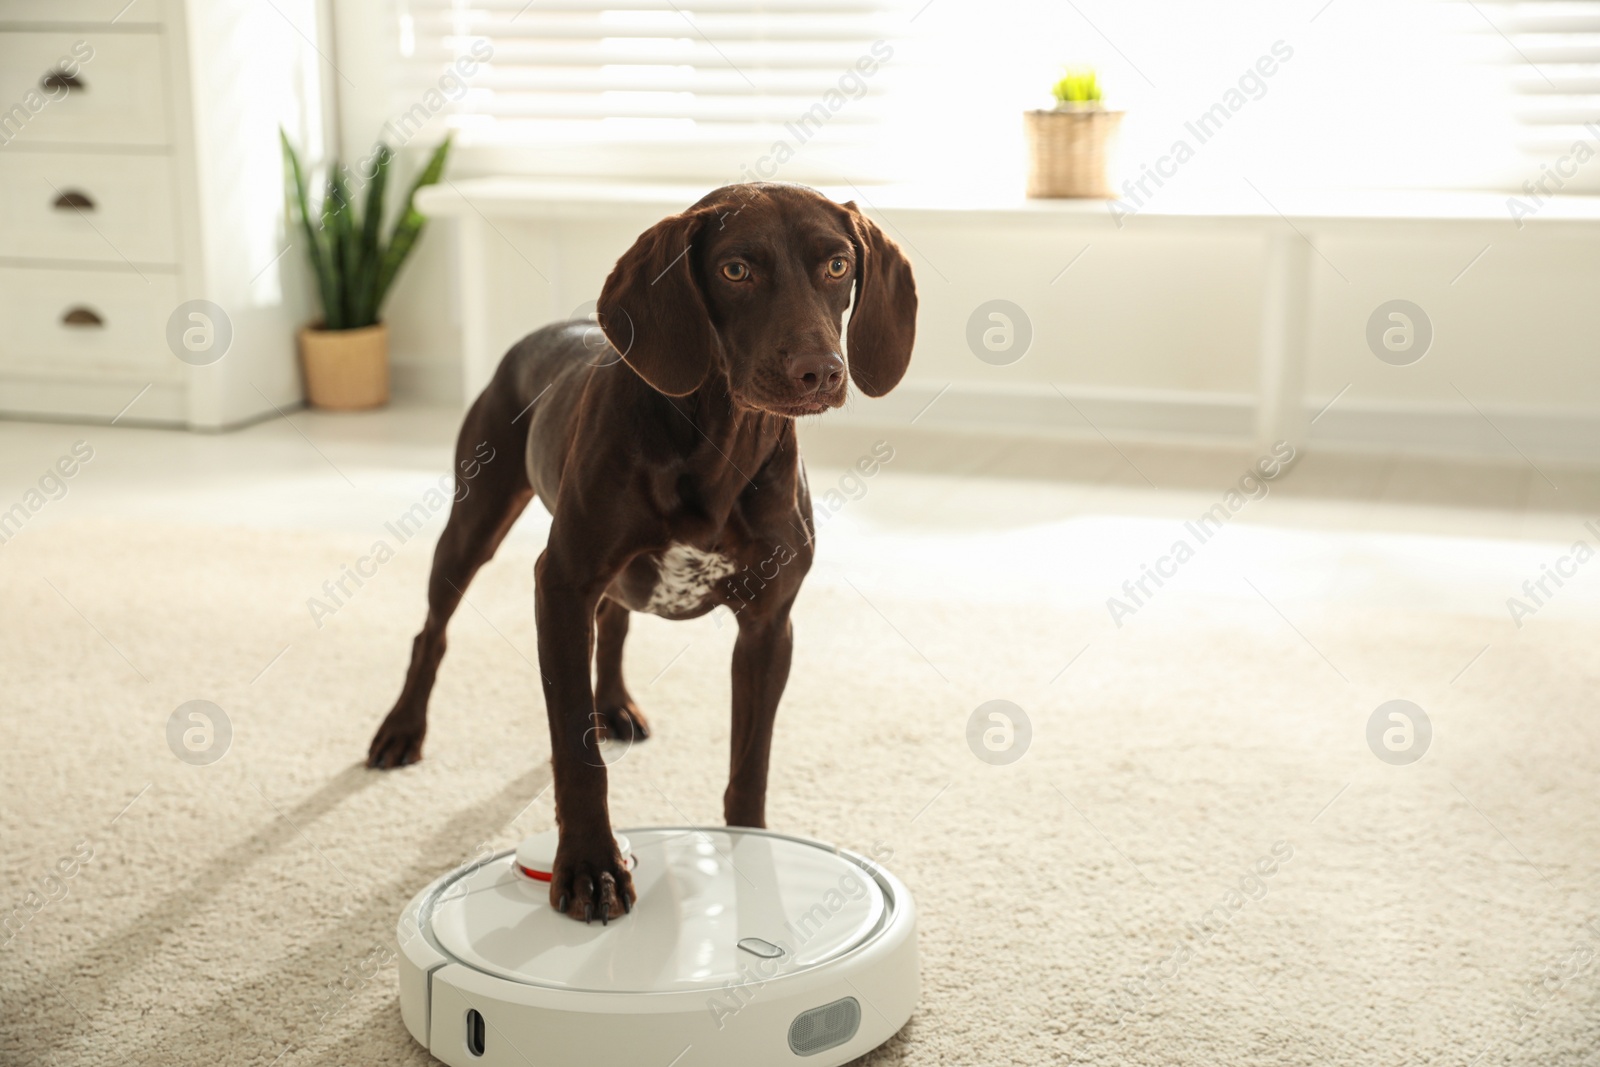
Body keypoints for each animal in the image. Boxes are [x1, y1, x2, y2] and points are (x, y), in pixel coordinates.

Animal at [364, 181, 915, 921]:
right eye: (735, 270)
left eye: (837, 266)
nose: (819, 371)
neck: (719, 444)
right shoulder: (561, 586)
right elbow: (576, 754)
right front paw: (590, 863)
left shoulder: (768, 627)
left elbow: (750, 761)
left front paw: (753, 851)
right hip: (473, 523)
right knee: (433, 631)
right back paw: (402, 727)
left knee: (615, 620)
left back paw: (616, 703)